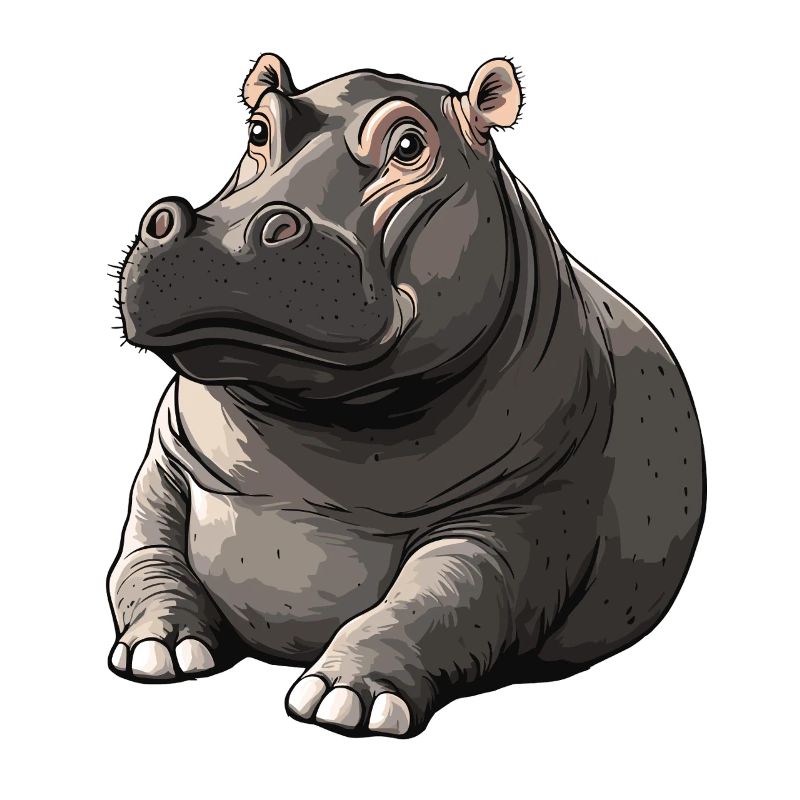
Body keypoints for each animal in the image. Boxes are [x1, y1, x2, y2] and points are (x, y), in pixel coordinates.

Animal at [109, 53, 705, 738]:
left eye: (410, 144)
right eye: (257, 129)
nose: (216, 234)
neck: (316, 441)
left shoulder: (524, 515)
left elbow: (443, 596)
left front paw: (345, 698)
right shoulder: (165, 469)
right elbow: (145, 554)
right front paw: (157, 649)